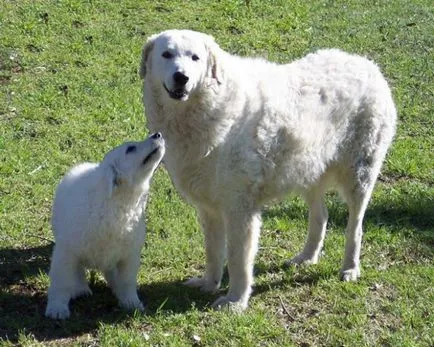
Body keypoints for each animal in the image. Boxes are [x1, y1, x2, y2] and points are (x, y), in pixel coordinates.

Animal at [45, 133, 164, 320]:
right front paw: (57, 308)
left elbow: (127, 281)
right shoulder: (66, 252)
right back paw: (81, 288)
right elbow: (61, 282)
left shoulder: (129, 255)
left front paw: (131, 302)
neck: (117, 203)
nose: (157, 134)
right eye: (130, 149)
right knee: (78, 270)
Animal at [140, 29, 396, 312]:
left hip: (358, 176)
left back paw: (350, 268)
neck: (207, 107)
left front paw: (235, 302)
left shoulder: (240, 209)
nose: (181, 77)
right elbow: (213, 250)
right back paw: (306, 257)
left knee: (355, 226)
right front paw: (209, 283)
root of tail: (368, 65)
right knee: (321, 215)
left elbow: (238, 259)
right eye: (167, 54)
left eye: (195, 58)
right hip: (309, 170)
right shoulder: (209, 207)